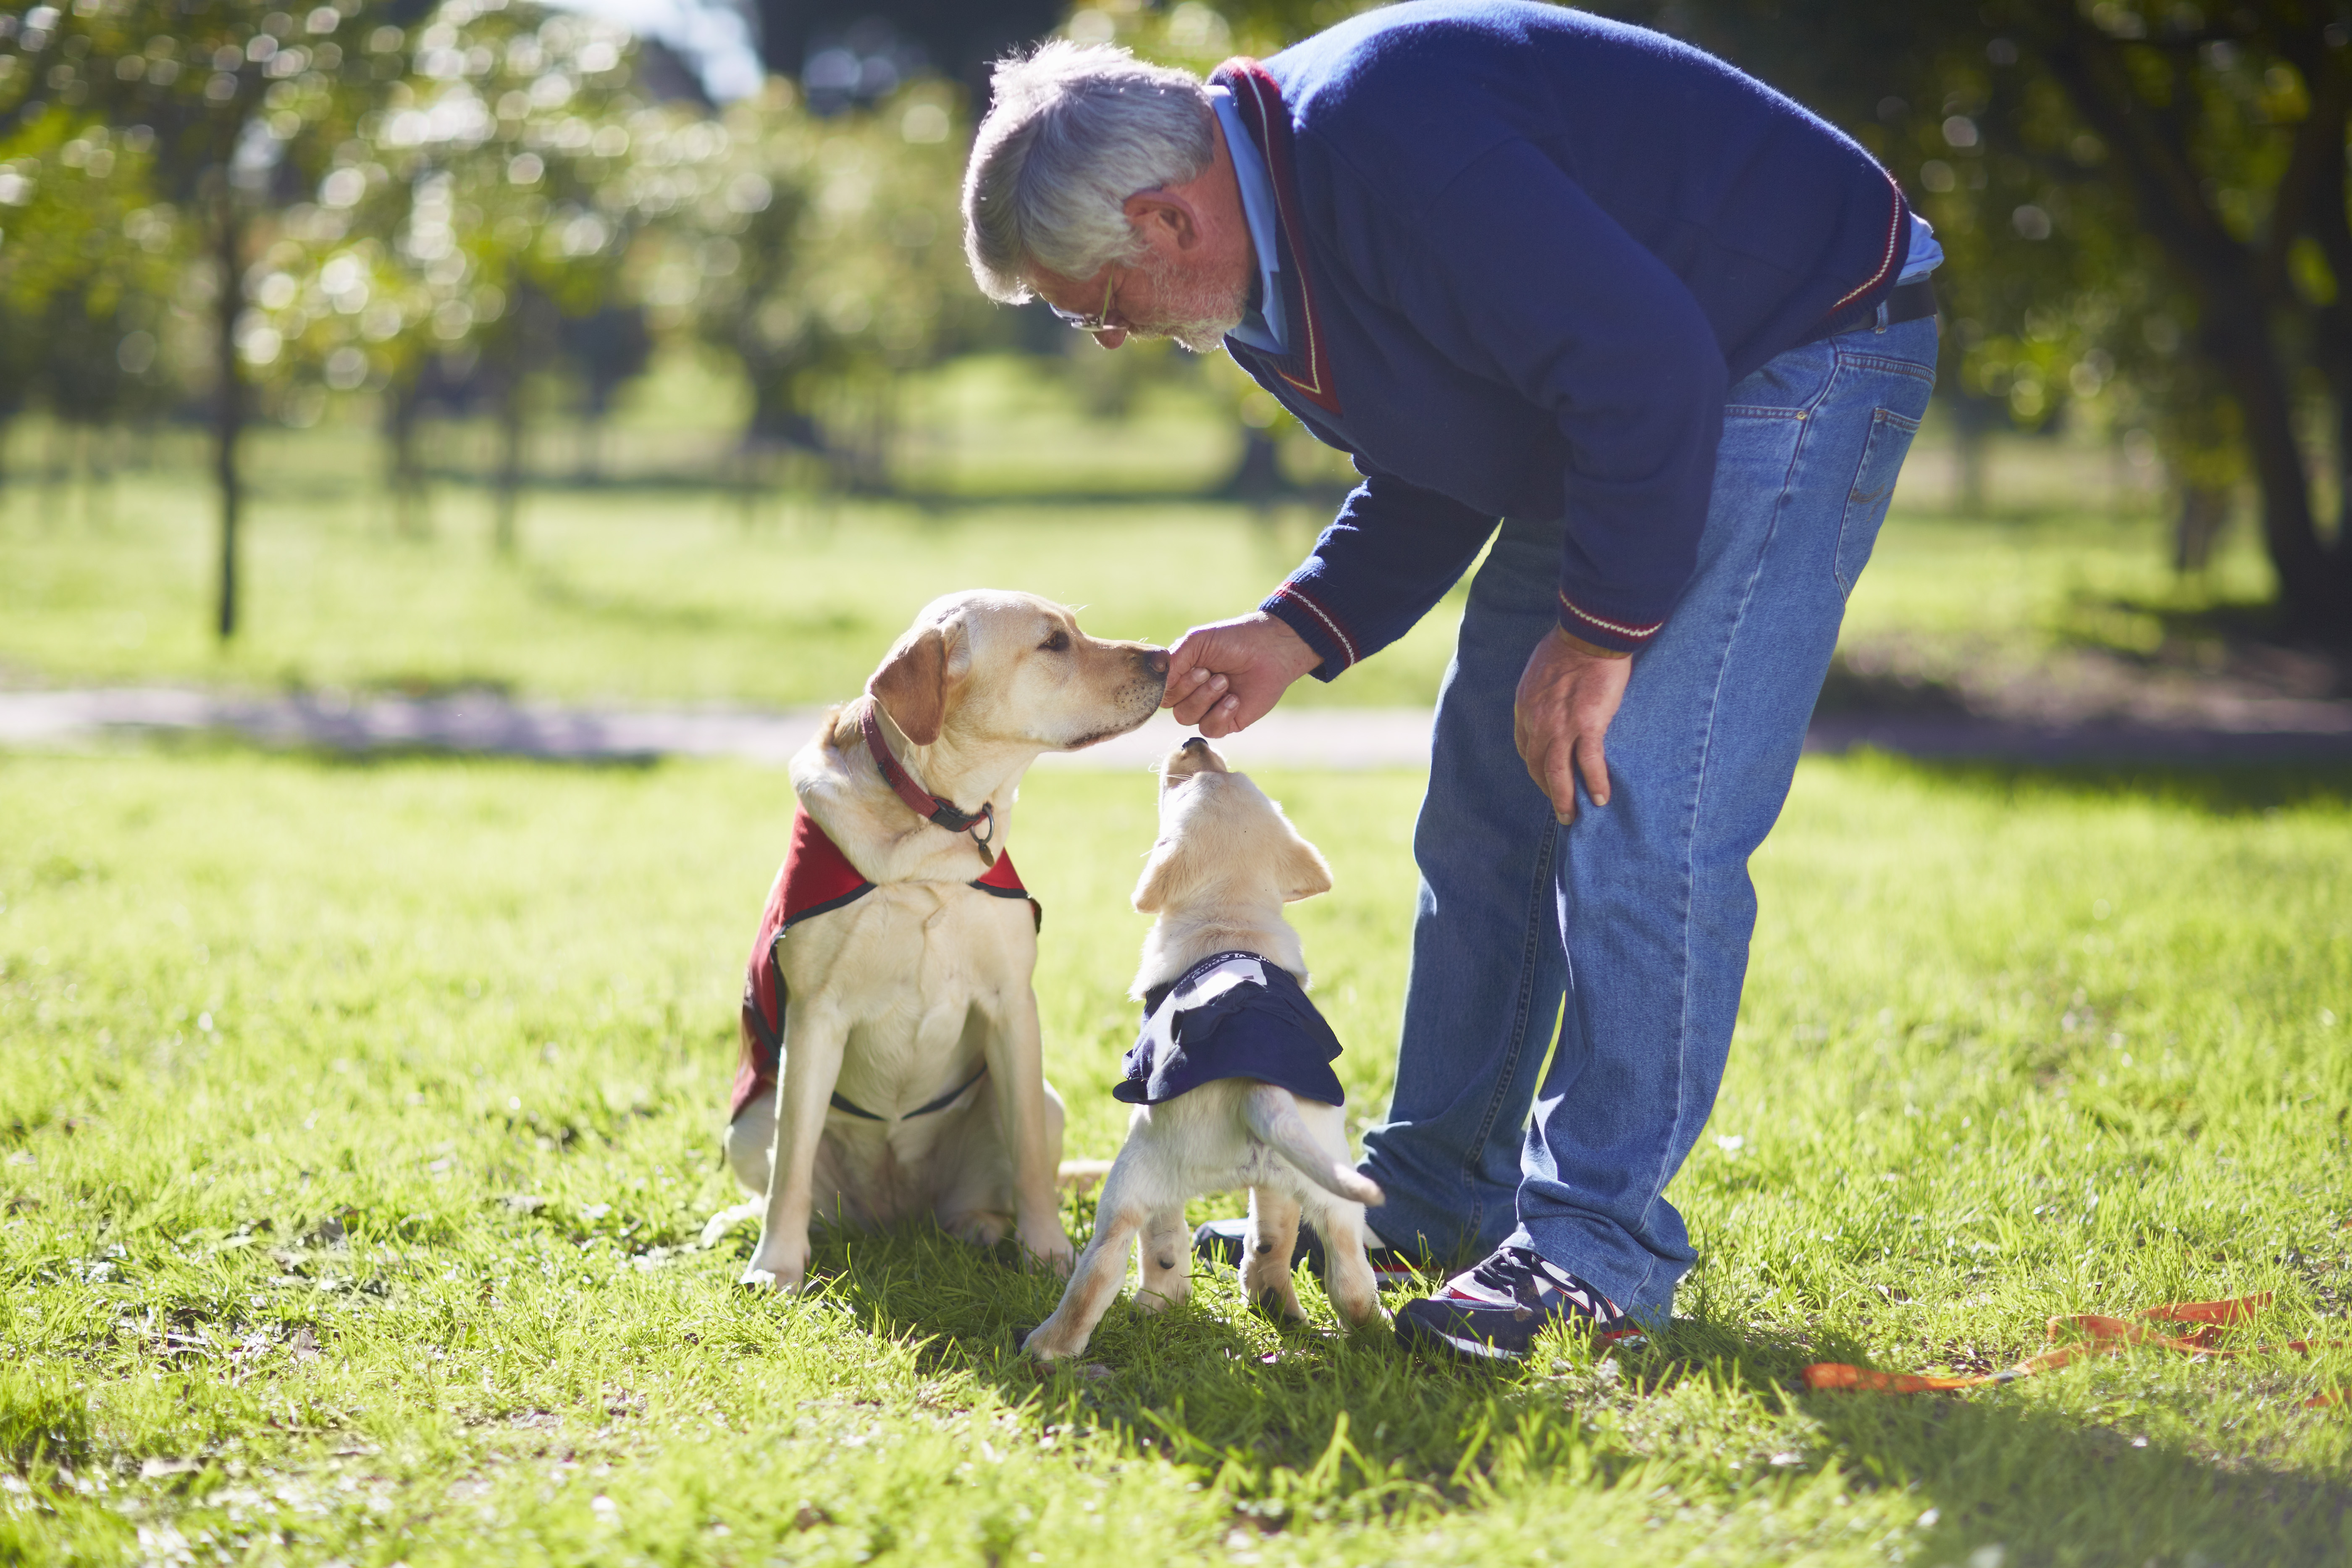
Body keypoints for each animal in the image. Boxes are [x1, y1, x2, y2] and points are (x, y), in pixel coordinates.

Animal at [706, 594, 1166, 1297]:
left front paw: (1047, 1251)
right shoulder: (816, 1018)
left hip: (1049, 1102)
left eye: (1075, 628)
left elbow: (1029, 1160)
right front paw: (775, 1265)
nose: (1166, 657)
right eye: (1054, 643)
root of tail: (897, 1213)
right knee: (791, 1180)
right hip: (749, 1121)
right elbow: (792, 1167)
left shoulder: (1012, 1006)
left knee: (997, 1184)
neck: (931, 830)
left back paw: (983, 1225)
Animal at [1025, 738, 1383, 1363]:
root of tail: (1260, 1083)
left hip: (1132, 1170)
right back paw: (1356, 1326)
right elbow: (1274, 1231)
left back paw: (1057, 1342)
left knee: (1111, 1262)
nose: (1196, 740)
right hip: (1325, 1179)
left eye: (1182, 783)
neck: (1229, 922)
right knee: (1340, 1274)